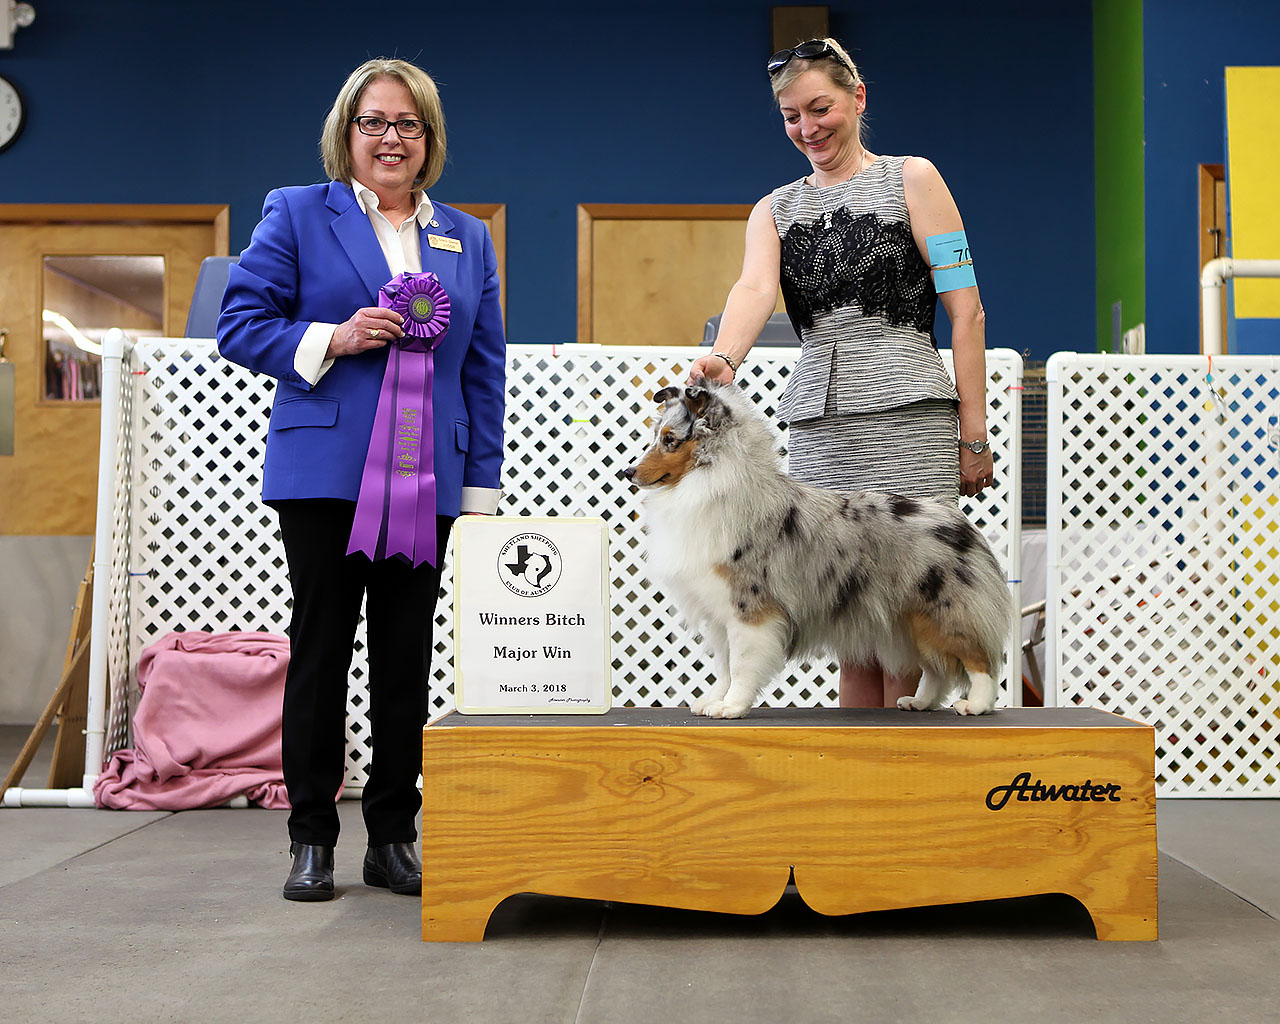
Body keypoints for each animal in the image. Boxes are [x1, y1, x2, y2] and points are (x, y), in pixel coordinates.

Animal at [622, 381, 1013, 719]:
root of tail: (958, 519)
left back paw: (977, 704)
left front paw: (731, 707)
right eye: (656, 437)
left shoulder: (750, 609)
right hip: (910, 618)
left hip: (944, 608)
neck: (711, 481)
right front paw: (714, 700)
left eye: (670, 440)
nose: (628, 472)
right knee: (937, 667)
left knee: (979, 659)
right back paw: (920, 702)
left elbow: (742, 664)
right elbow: (724, 665)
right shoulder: (718, 611)